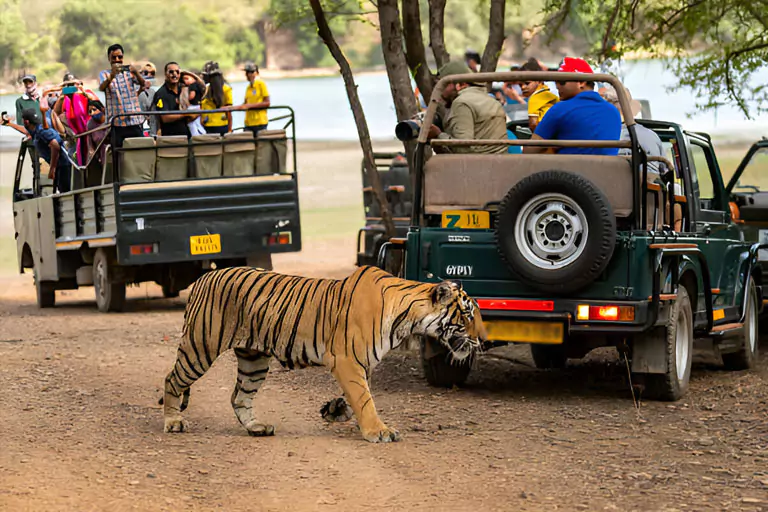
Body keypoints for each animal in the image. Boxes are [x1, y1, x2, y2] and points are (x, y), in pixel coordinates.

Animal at [162, 266, 486, 442]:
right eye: (468, 314)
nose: (484, 339)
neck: (407, 319)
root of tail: (203, 277)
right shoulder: (346, 360)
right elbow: (365, 399)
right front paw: (378, 431)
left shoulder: (362, 363)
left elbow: (359, 396)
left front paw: (335, 410)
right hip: (200, 347)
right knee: (172, 380)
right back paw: (173, 422)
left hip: (254, 360)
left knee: (238, 397)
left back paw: (257, 427)